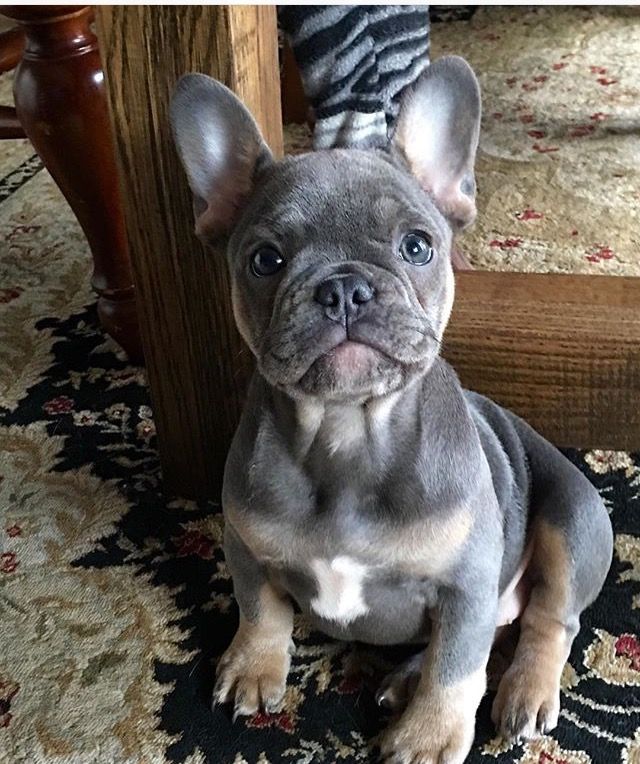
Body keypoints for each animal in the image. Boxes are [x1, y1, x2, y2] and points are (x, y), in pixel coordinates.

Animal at [172, 56, 612, 760]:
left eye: (417, 247)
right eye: (265, 260)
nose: (345, 287)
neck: (347, 434)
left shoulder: (465, 584)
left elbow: (456, 663)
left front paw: (429, 734)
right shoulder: (244, 542)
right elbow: (258, 606)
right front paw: (254, 666)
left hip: (574, 520)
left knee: (547, 619)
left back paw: (523, 691)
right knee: (499, 626)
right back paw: (406, 677)